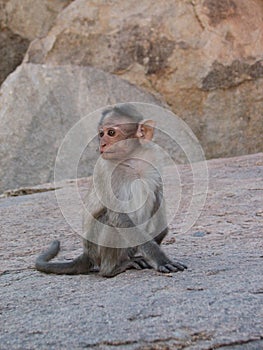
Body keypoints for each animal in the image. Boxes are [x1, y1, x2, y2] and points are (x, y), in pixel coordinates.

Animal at [36, 102, 187, 278]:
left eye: (111, 133)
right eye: (101, 134)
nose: (102, 144)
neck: (131, 159)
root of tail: (87, 254)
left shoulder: (154, 156)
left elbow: (157, 194)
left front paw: (162, 234)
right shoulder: (105, 168)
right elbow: (118, 216)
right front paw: (160, 259)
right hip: (96, 249)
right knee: (109, 221)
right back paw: (112, 268)